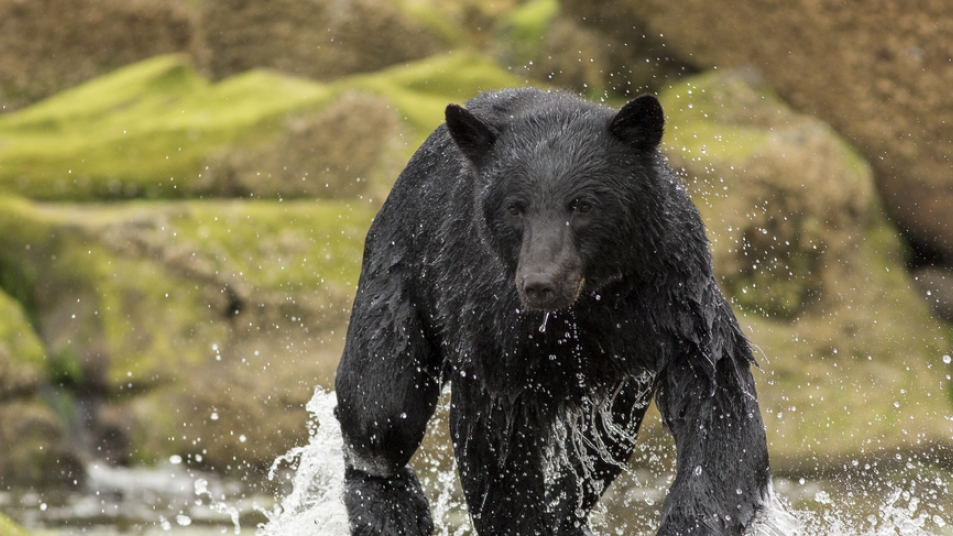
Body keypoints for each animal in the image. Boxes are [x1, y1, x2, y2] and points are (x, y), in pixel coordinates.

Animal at [334, 89, 772, 536]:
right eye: (515, 207)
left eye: (583, 204)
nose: (540, 283)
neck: (588, 304)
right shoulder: (494, 324)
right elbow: (495, 443)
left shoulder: (670, 294)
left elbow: (715, 392)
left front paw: (697, 515)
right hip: (399, 273)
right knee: (381, 411)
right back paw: (391, 510)